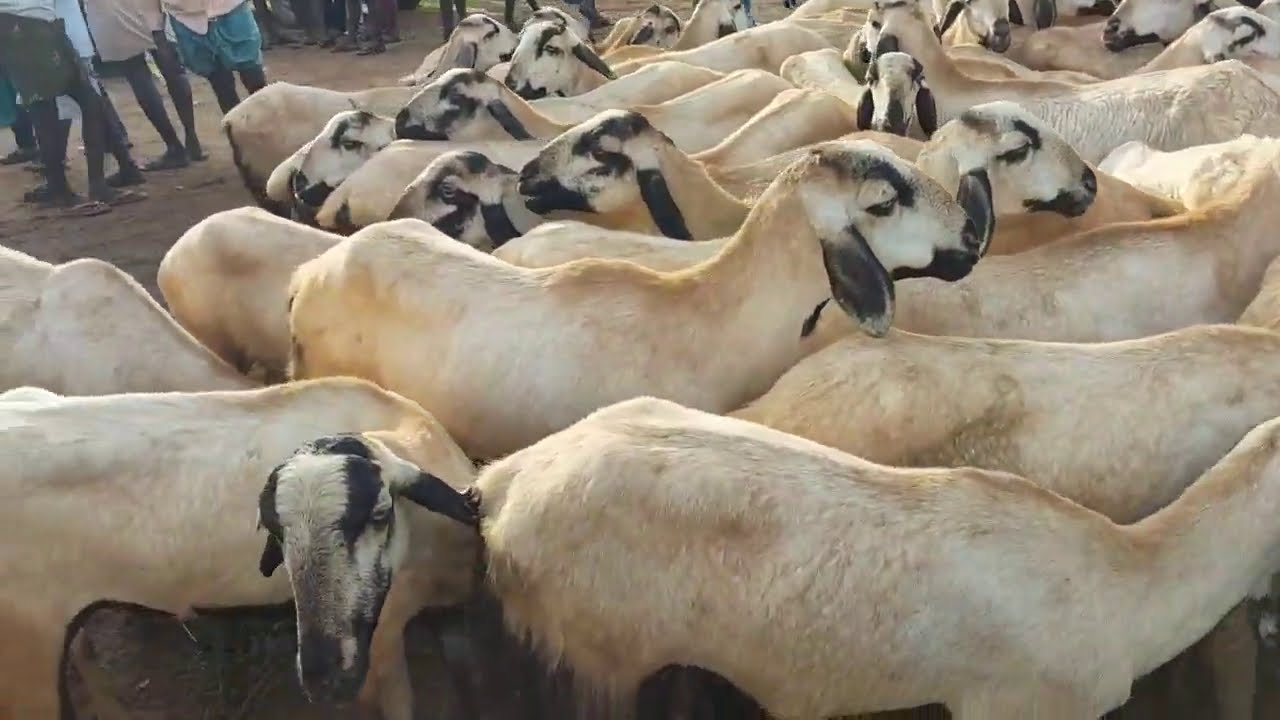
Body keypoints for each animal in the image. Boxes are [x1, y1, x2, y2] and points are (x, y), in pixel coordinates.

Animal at [0, 377, 477, 720]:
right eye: (276, 532)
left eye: (379, 515)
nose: (322, 677)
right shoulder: (386, 632)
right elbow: (399, 702)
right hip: (27, 651)